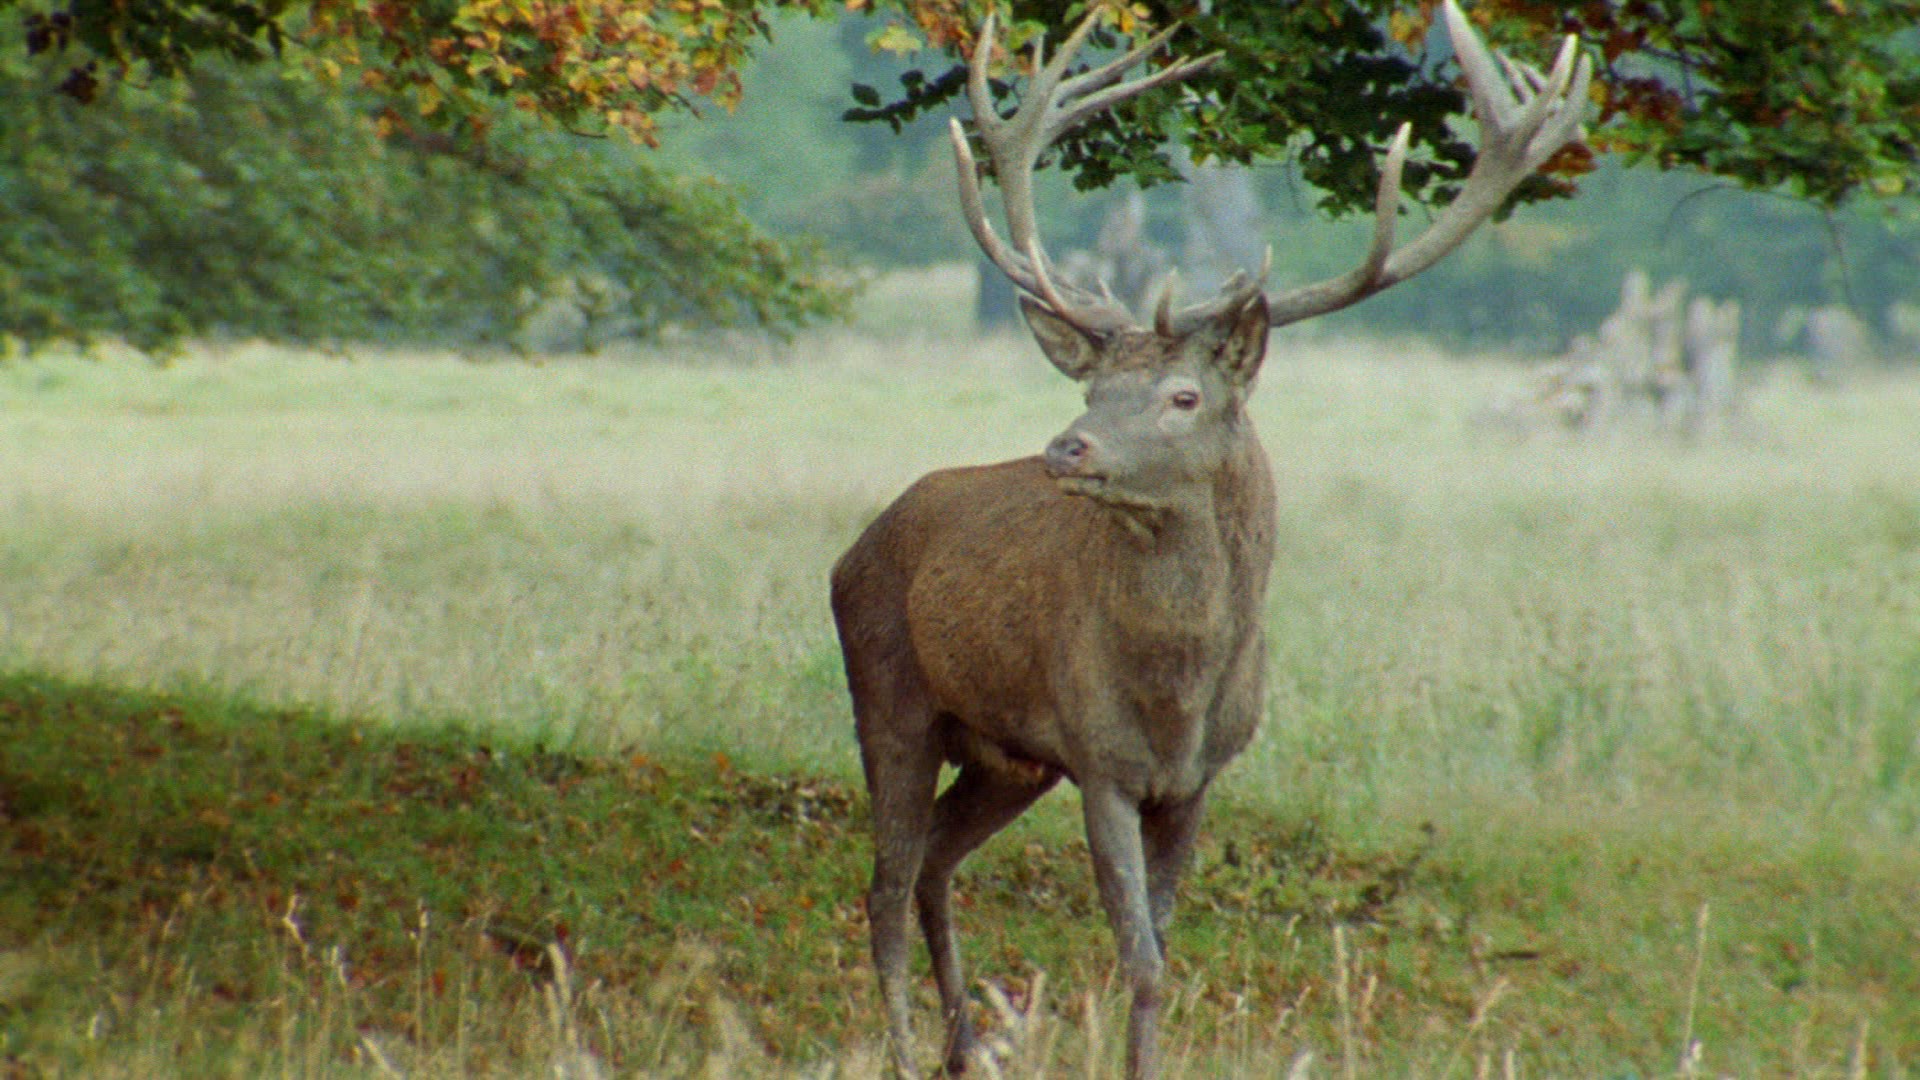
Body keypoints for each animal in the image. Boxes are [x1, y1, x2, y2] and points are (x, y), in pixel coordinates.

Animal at [829, 4, 1589, 1076]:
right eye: (1094, 387)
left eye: (1184, 397)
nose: (1067, 446)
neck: (1176, 691)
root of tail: (859, 542)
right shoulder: (1100, 758)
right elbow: (1140, 960)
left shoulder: (1198, 778)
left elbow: (1161, 946)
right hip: (888, 688)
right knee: (886, 883)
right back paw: (906, 1049)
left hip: (1007, 756)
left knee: (934, 865)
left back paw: (963, 1048)